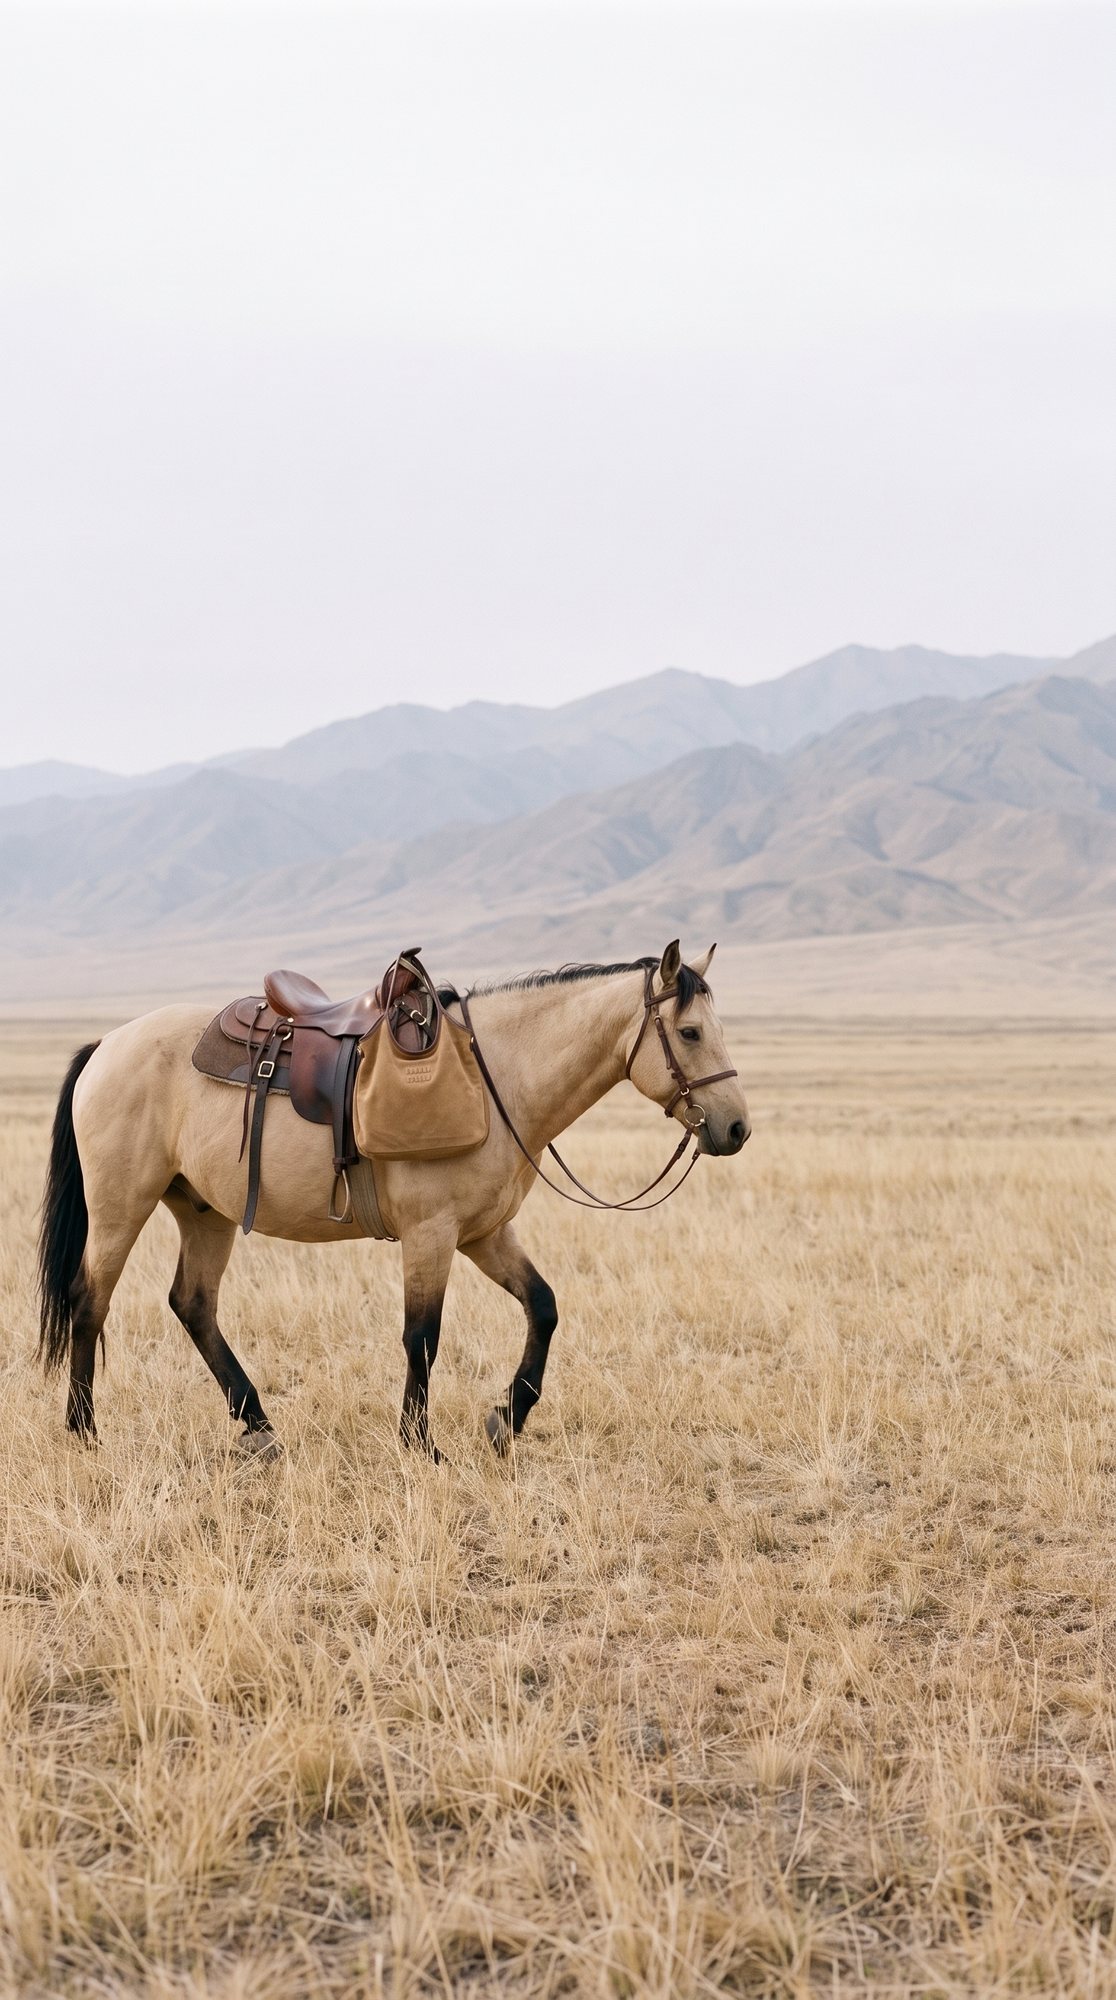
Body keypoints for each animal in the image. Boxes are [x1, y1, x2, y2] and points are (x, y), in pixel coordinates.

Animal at [37, 941, 750, 1461]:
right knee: (89, 1301)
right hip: (121, 1206)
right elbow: (422, 1337)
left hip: (204, 1211)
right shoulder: (431, 1234)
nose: (737, 1128)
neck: (492, 1080)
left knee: (192, 1304)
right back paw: (85, 1430)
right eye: (690, 1032)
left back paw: (258, 1425)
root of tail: (107, 1044)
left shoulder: (483, 1234)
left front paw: (507, 1418)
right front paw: (419, 1443)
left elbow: (543, 1308)